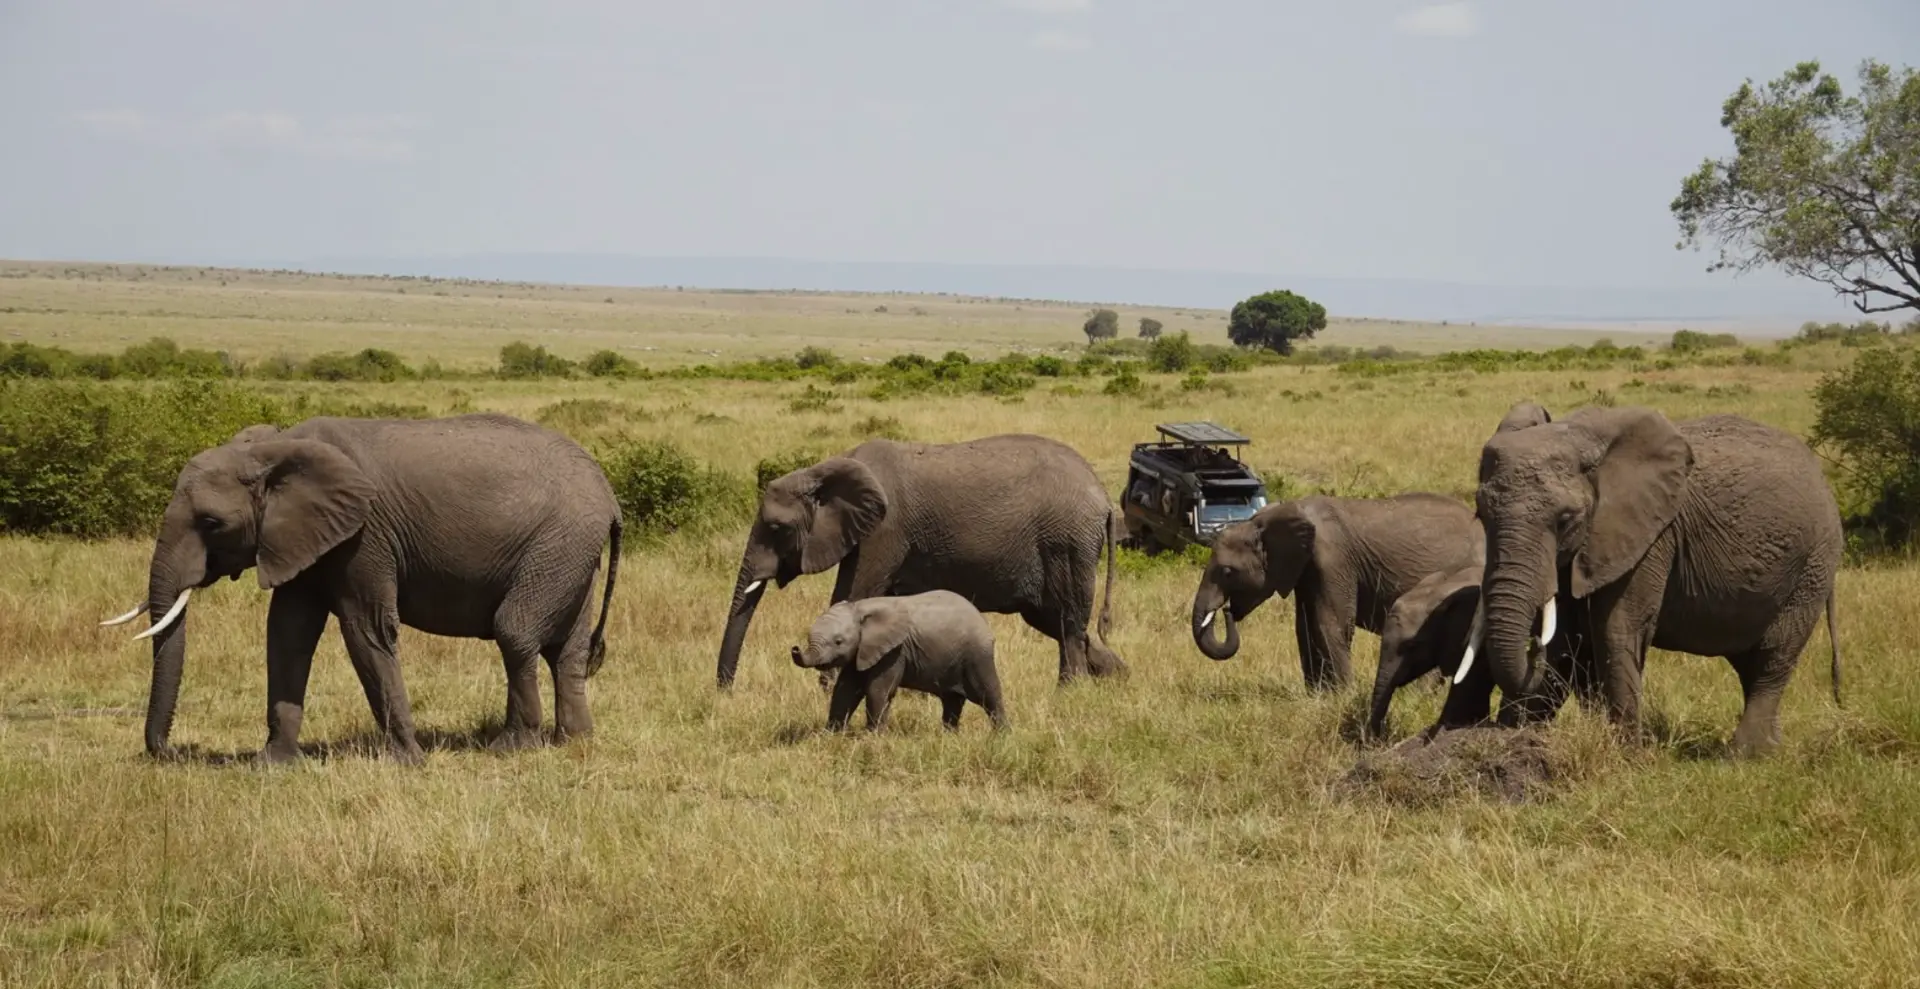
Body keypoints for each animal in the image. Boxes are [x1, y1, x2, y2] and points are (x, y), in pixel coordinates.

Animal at [98, 413, 623, 764]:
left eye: (211, 523)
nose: (173, 751)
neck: (276, 449)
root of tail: (610, 495)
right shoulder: (306, 536)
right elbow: (287, 632)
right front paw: (273, 764)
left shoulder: (364, 535)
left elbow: (366, 630)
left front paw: (410, 761)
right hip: (572, 552)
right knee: (566, 650)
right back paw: (574, 741)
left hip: (558, 543)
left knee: (514, 632)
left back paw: (511, 748)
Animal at [715, 433, 1124, 690]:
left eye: (776, 528)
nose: (725, 691)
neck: (824, 470)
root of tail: (1103, 496)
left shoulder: (883, 533)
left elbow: (854, 594)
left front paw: (827, 686)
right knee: (1056, 621)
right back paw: (1117, 675)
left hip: (1066, 543)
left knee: (1068, 621)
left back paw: (1070, 692)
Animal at [789, 589, 1007, 732]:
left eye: (838, 641)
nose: (795, 648)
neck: (860, 608)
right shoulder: (862, 650)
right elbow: (845, 690)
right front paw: (831, 734)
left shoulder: (895, 651)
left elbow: (877, 690)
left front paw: (872, 737)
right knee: (952, 700)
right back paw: (948, 736)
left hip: (977, 655)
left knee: (989, 694)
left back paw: (1001, 736)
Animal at [1189, 491, 1484, 691]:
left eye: (1228, 572)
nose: (1226, 610)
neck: (1265, 519)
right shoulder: (1306, 568)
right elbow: (1305, 627)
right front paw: (1317, 696)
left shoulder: (1333, 560)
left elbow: (1330, 622)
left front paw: (1342, 695)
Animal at [1457, 400, 1844, 756]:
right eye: (1481, 515)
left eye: (1565, 520)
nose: (1533, 644)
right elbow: (1565, 638)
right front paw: (1512, 739)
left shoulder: (1651, 535)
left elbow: (1616, 628)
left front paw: (1626, 756)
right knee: (1750, 663)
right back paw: (1771, 747)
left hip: (1813, 564)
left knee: (1774, 655)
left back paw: (1745, 755)